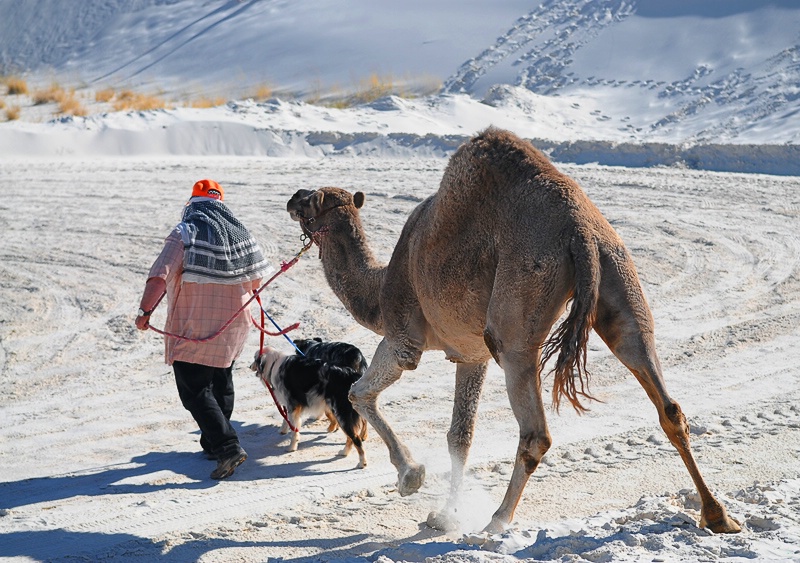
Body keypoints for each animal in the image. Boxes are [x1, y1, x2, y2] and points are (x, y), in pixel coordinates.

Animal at [252, 340, 370, 468]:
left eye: (254, 358)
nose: (249, 366)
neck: (274, 362)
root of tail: (353, 375)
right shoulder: (291, 405)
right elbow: (286, 420)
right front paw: (283, 430)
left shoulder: (293, 405)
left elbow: (294, 429)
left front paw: (292, 447)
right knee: (352, 436)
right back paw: (344, 452)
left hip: (342, 413)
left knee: (355, 438)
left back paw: (362, 462)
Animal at [284, 129, 740, 536]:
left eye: (313, 200)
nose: (293, 195)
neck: (379, 289)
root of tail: (579, 230)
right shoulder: (470, 354)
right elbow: (460, 436)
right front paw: (443, 516)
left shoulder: (402, 338)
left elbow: (360, 393)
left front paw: (411, 477)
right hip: (618, 276)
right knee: (667, 402)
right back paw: (718, 515)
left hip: (517, 309)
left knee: (535, 430)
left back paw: (497, 520)